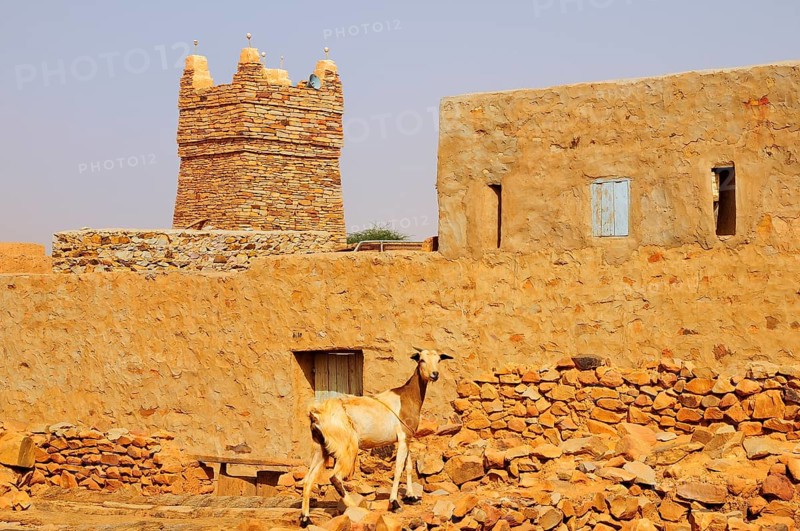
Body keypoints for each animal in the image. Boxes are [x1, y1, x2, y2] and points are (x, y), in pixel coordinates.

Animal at [299, 348, 453, 527]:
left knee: (308, 479)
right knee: (335, 478)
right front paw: (394, 503)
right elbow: (398, 468)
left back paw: (305, 519)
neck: (406, 396)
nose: (435, 374)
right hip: (346, 448)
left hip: (321, 448)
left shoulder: (406, 437)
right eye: (421, 360)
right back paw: (356, 508)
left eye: (439, 360)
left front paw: (411, 497)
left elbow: (407, 467)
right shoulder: (403, 437)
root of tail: (316, 412)